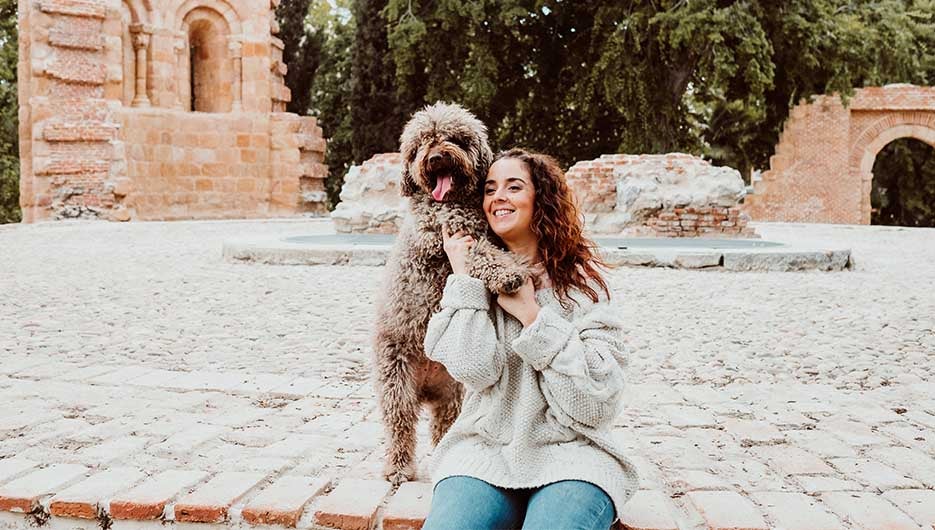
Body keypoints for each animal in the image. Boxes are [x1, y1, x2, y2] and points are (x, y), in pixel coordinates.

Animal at [374, 102, 532, 482]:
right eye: (420, 145)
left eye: (453, 139)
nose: (435, 158)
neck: (452, 202)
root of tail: (425, 386)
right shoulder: (452, 238)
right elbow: (485, 255)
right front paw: (509, 274)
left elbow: (497, 249)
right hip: (396, 382)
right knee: (400, 425)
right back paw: (398, 468)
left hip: (452, 394)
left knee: (443, 426)